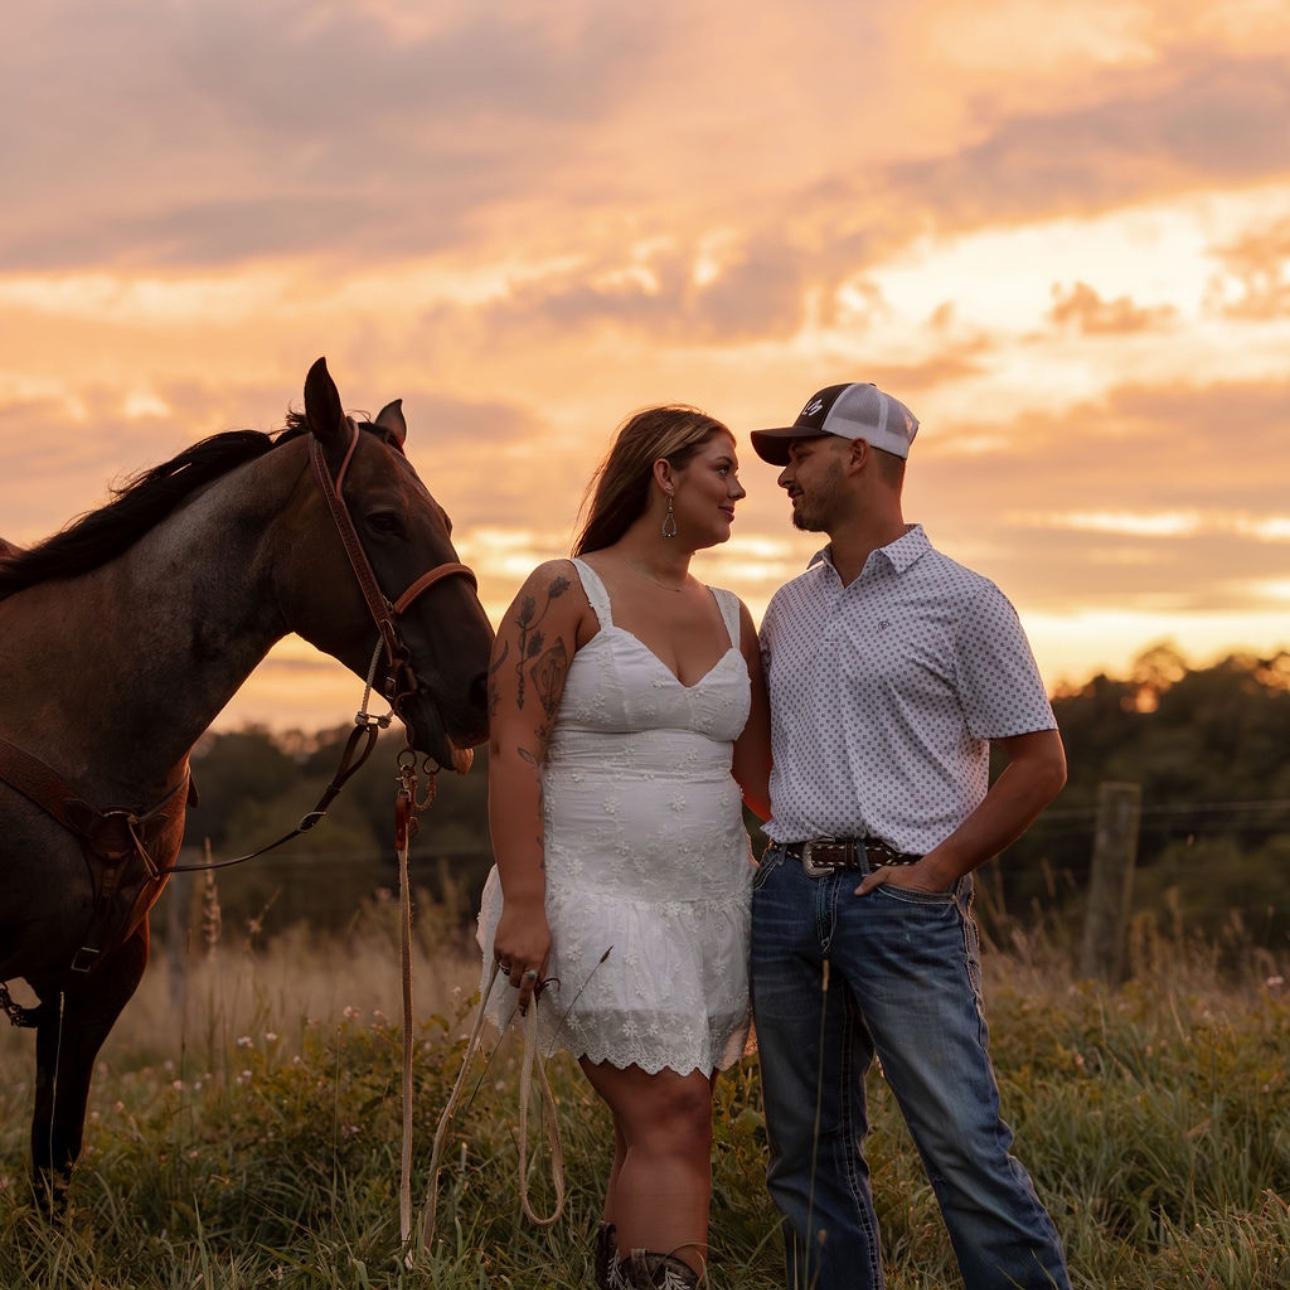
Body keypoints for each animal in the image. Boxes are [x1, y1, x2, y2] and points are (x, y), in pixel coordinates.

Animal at [0, 357, 494, 1198]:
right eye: (384, 520)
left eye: (448, 520)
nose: (482, 687)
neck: (68, 717)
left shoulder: (95, 977)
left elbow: (54, 1160)